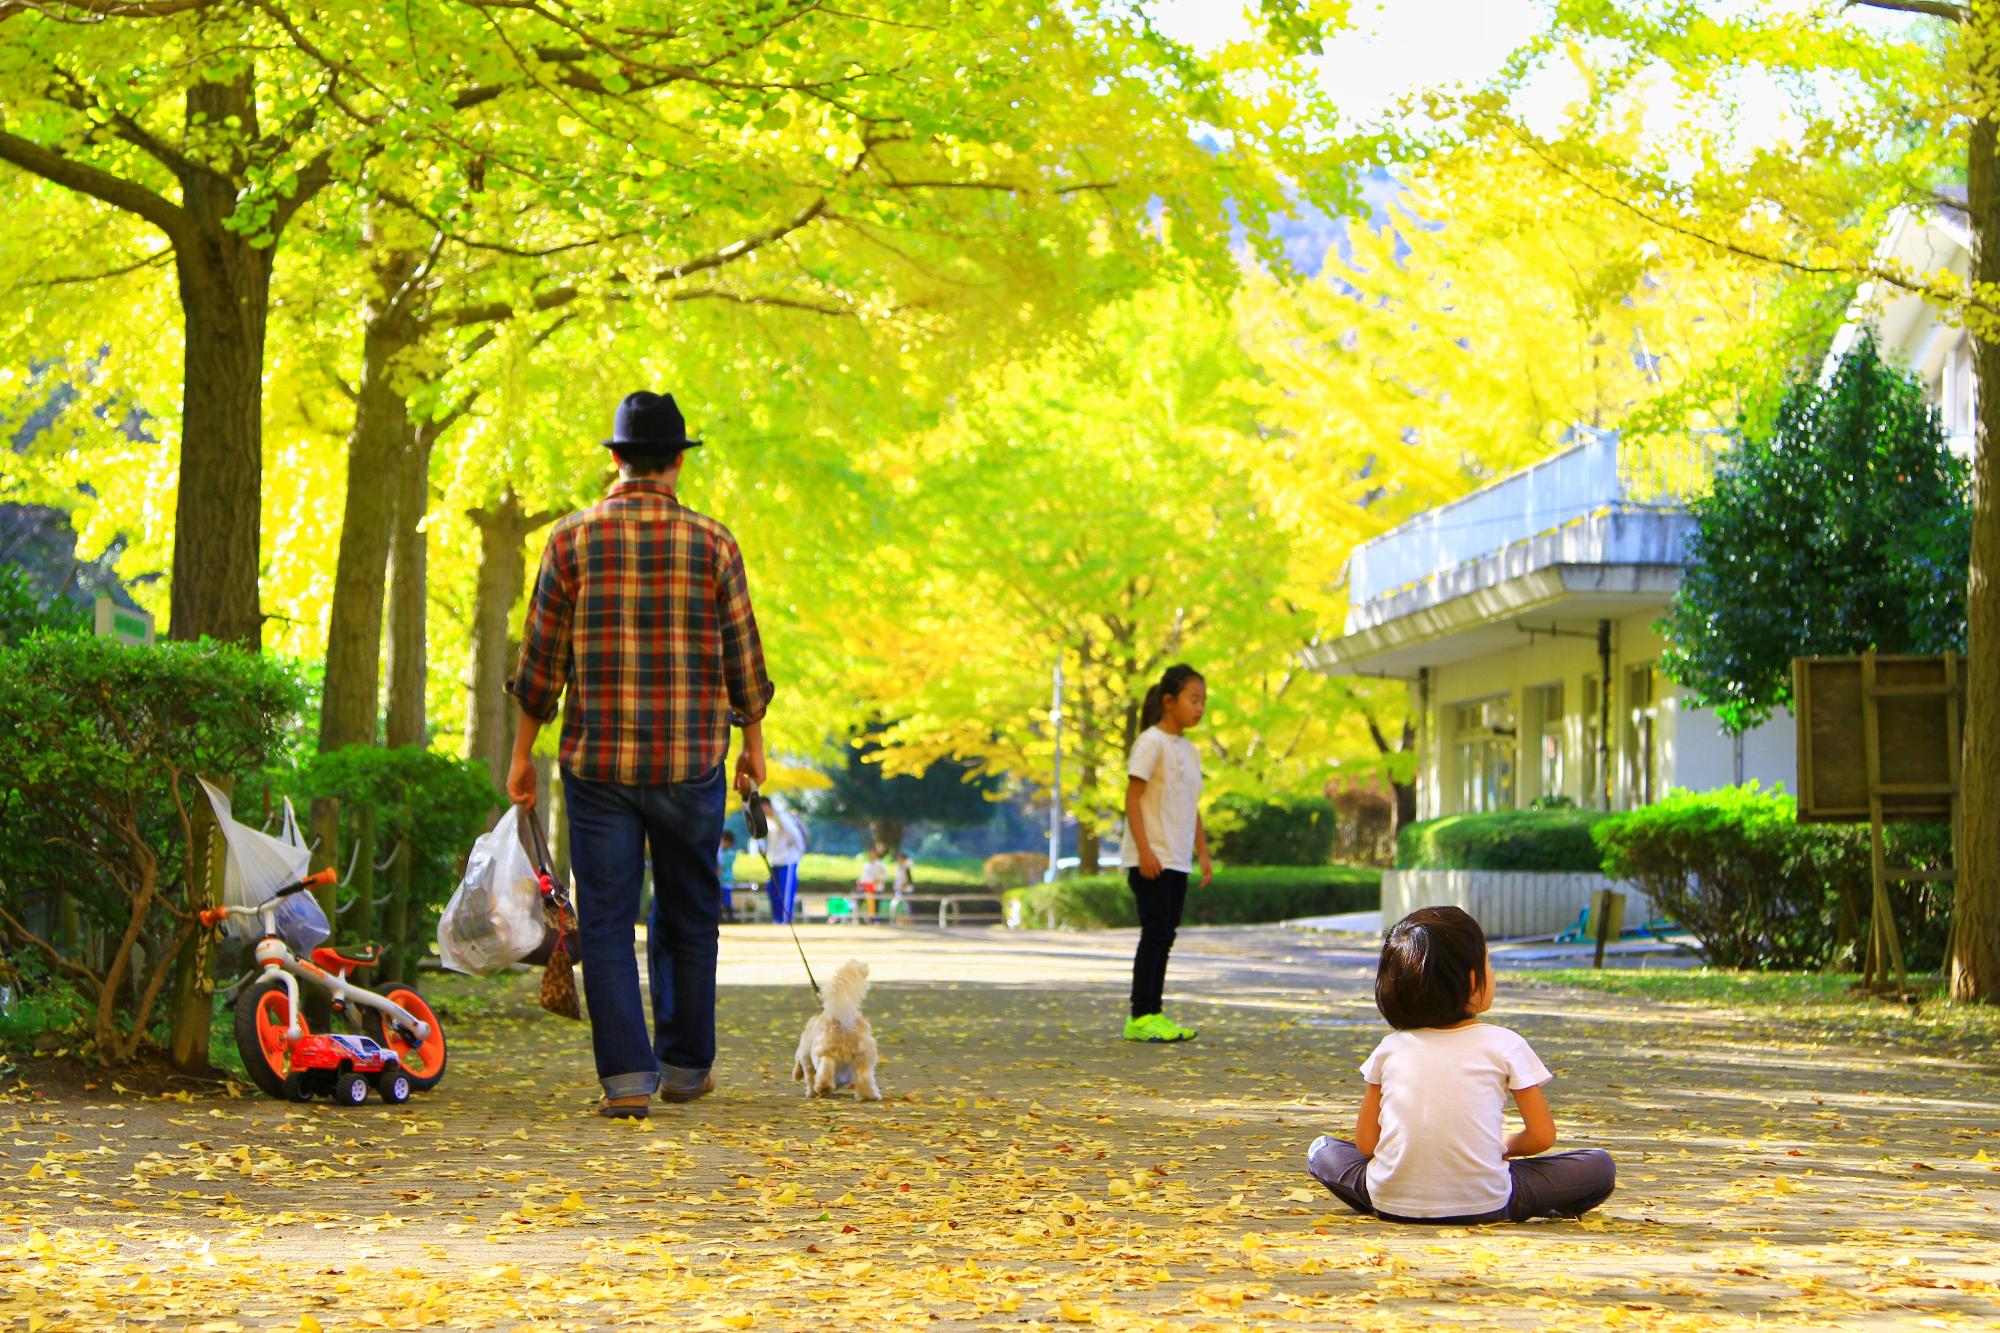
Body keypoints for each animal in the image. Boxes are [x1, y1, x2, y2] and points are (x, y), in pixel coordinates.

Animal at [792, 956, 880, 1096]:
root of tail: (842, 1023)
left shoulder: (806, 1060)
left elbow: (810, 1077)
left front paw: (811, 1092)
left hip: (825, 1051)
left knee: (826, 1066)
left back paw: (824, 1087)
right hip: (864, 1056)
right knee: (864, 1075)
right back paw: (869, 1095)